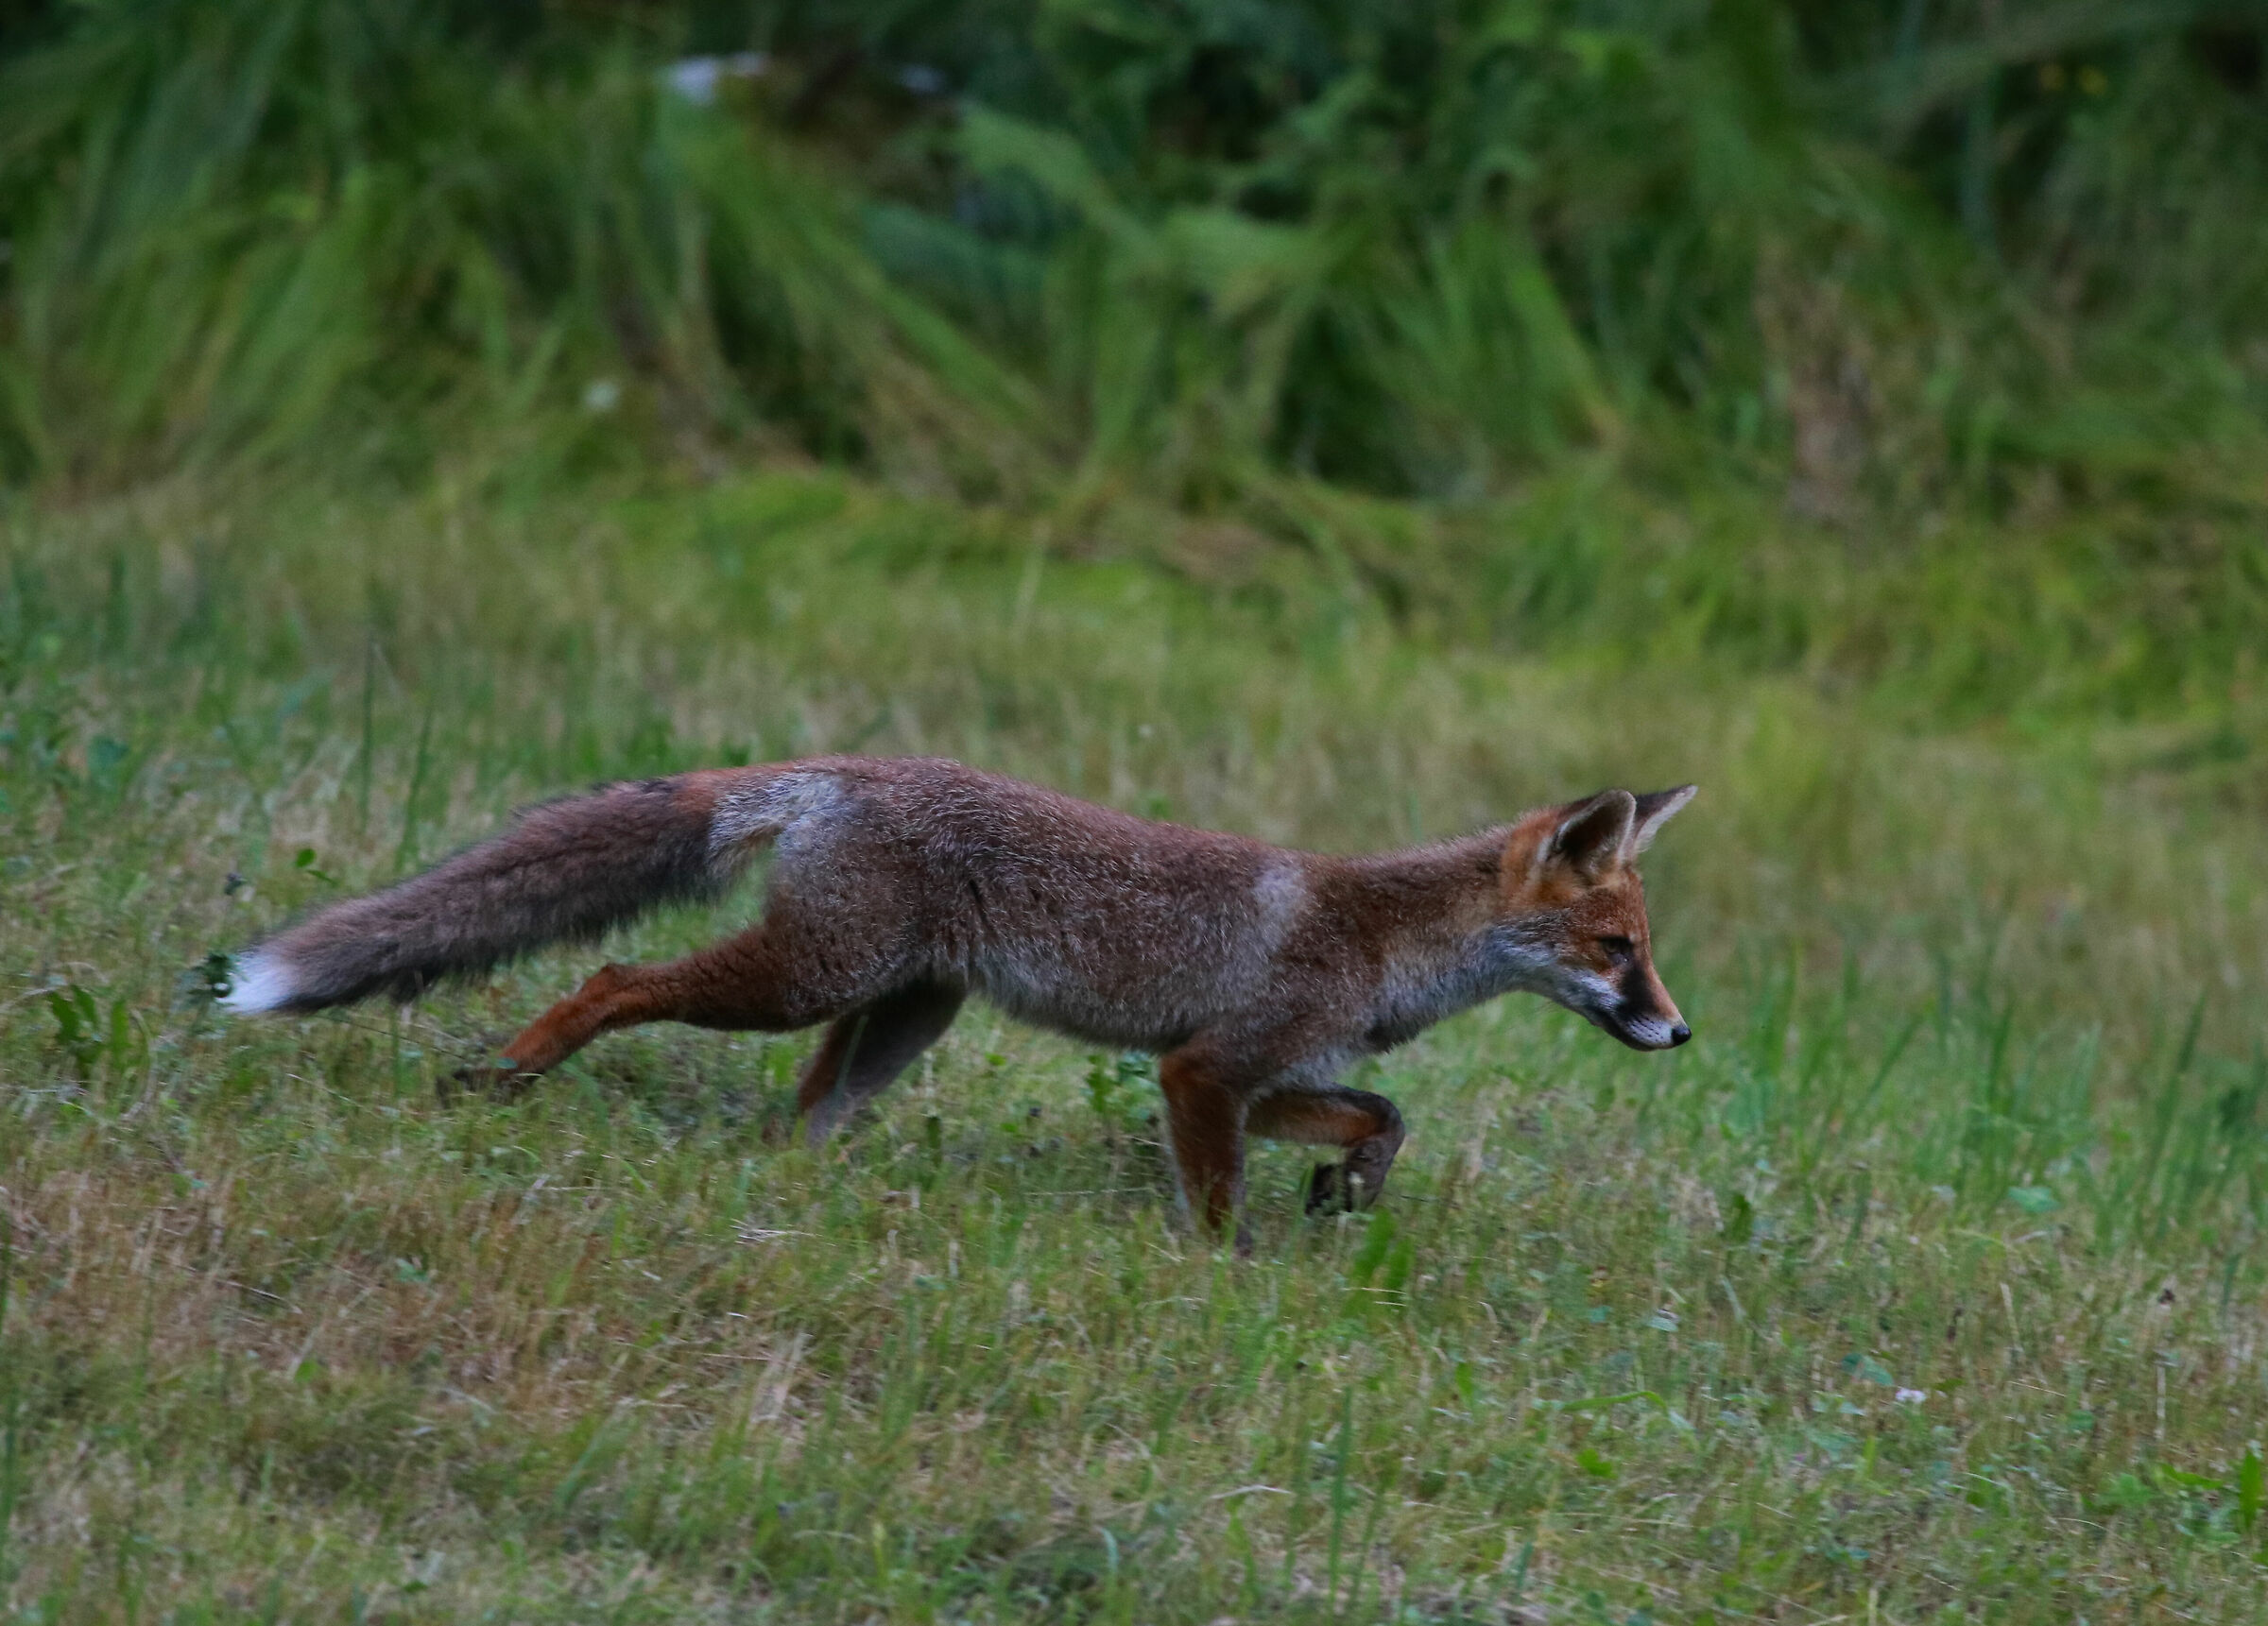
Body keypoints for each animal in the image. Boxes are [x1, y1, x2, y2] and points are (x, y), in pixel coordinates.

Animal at [223, 756, 1694, 1237]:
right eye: (1618, 947)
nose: (1682, 1031)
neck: (1385, 941)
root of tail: (844, 768)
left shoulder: (1259, 1070)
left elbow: (1385, 1114)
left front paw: (1348, 1191)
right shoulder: (1204, 1073)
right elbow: (1222, 1207)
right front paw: (1233, 1282)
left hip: (896, 1016)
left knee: (799, 1122)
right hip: (799, 981)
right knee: (612, 974)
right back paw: (509, 1072)